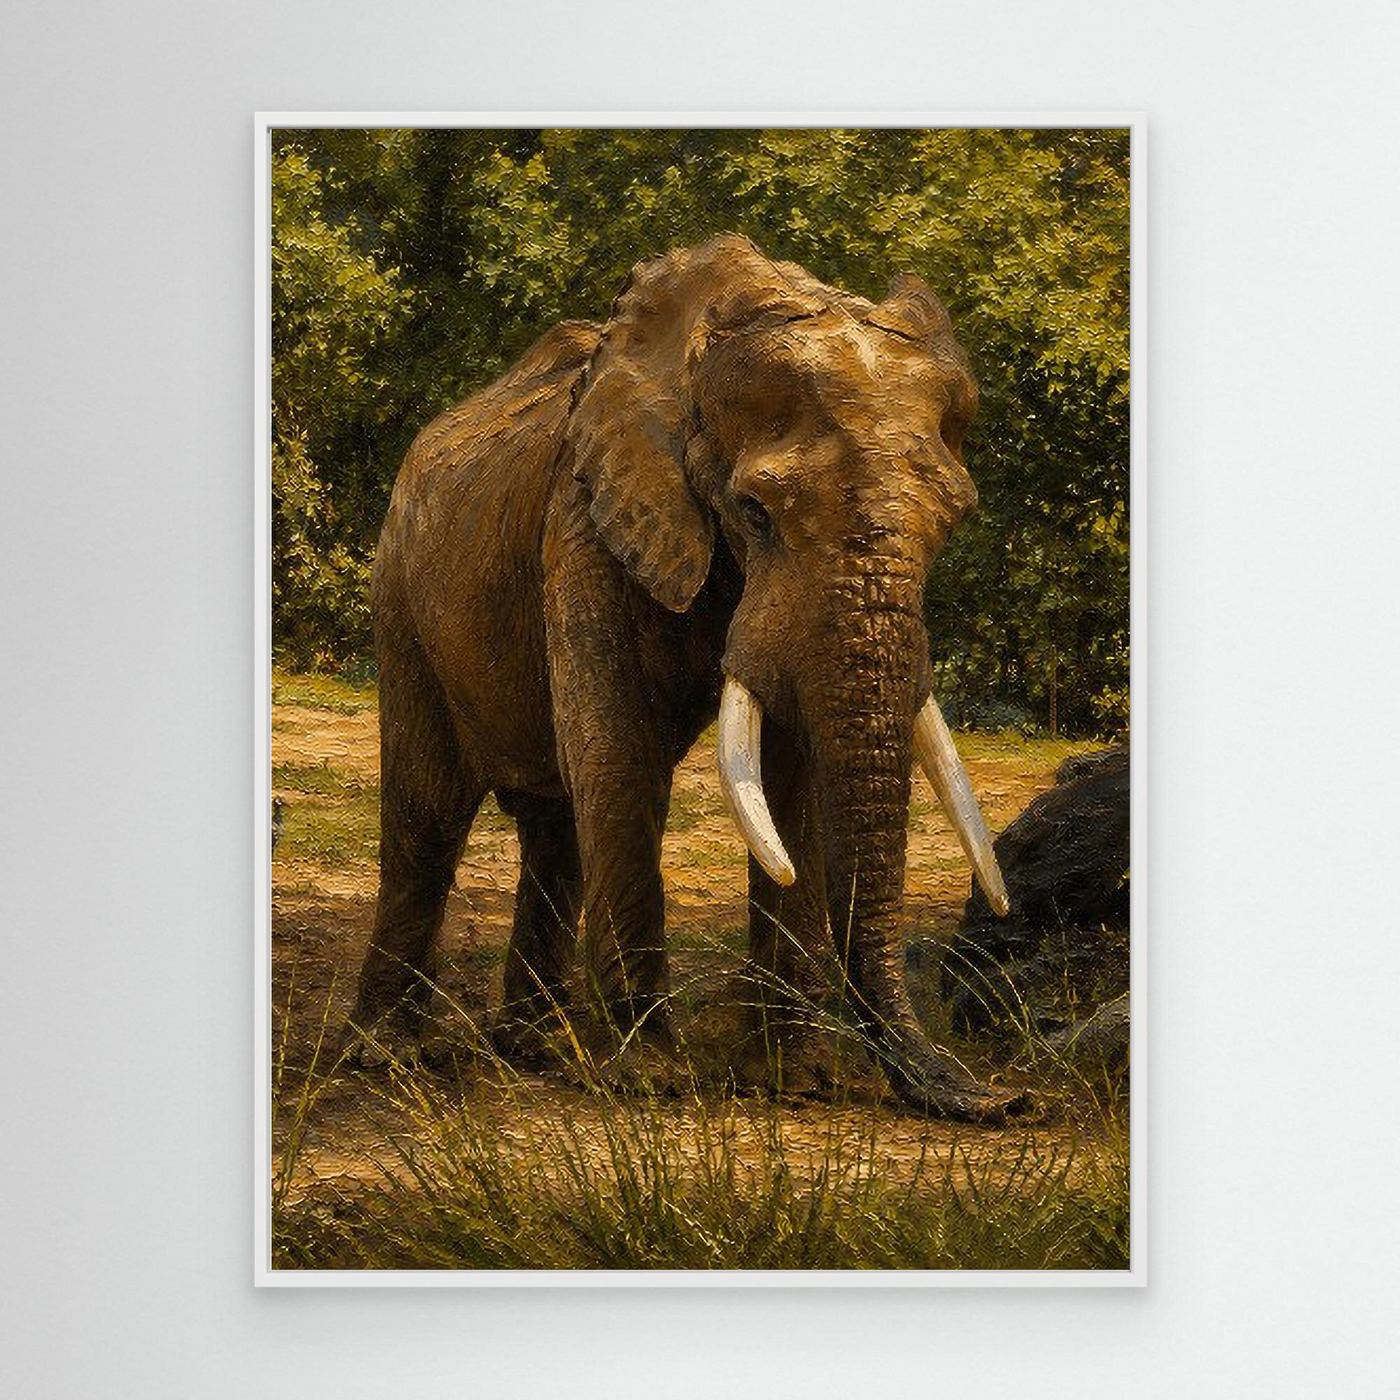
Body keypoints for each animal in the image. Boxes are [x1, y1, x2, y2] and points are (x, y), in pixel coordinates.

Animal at [348, 233, 1023, 1121]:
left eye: (952, 524)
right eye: (756, 512)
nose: (1000, 1100)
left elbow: (792, 775)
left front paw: (796, 1081)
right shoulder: (589, 515)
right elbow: (622, 755)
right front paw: (649, 1080)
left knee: (554, 828)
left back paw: (533, 1050)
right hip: (402, 593)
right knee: (429, 811)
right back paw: (390, 1059)